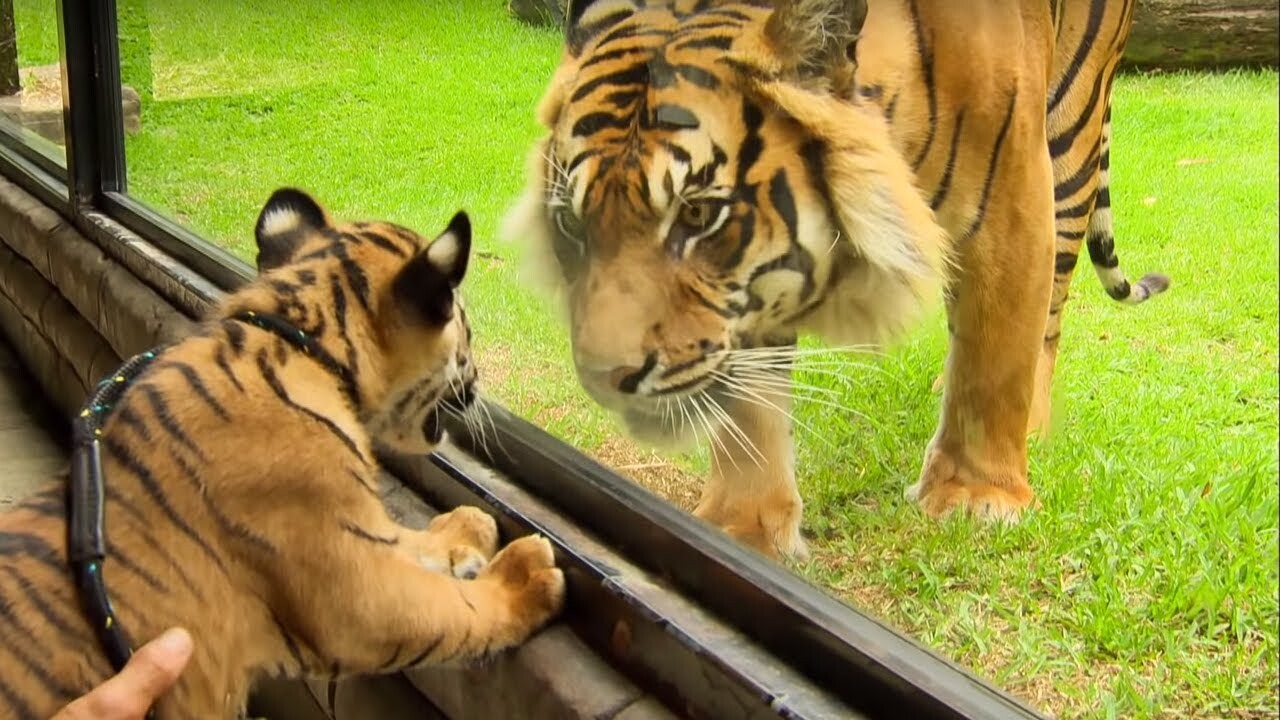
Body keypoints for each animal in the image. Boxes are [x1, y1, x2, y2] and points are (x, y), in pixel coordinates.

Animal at [0, 190, 563, 717]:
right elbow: (457, 610)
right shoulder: (358, 595)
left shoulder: (354, 527)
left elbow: (408, 538)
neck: (306, 342)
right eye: (466, 327)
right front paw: (526, 577)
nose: (478, 381)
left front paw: (468, 526)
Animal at [504, 0, 1167, 558]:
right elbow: (750, 403)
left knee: (1047, 313)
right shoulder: (754, 287)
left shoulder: (1014, 200)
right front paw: (745, 526)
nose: (606, 380)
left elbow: (997, 355)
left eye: (697, 214)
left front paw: (976, 497)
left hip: (1073, 140)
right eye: (572, 224)